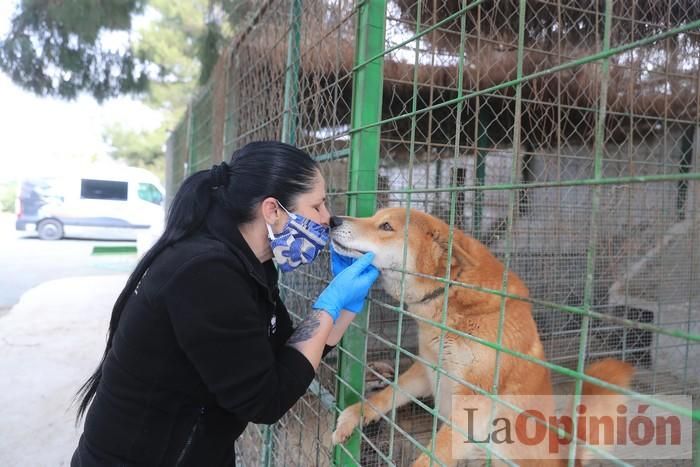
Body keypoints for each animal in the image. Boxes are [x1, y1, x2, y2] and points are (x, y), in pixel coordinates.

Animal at [328, 209, 636, 467]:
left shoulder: (473, 400)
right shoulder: (427, 369)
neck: (450, 297)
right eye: (374, 216)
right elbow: (388, 394)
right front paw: (353, 416)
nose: (333, 219)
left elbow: (433, 453)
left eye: (386, 226)